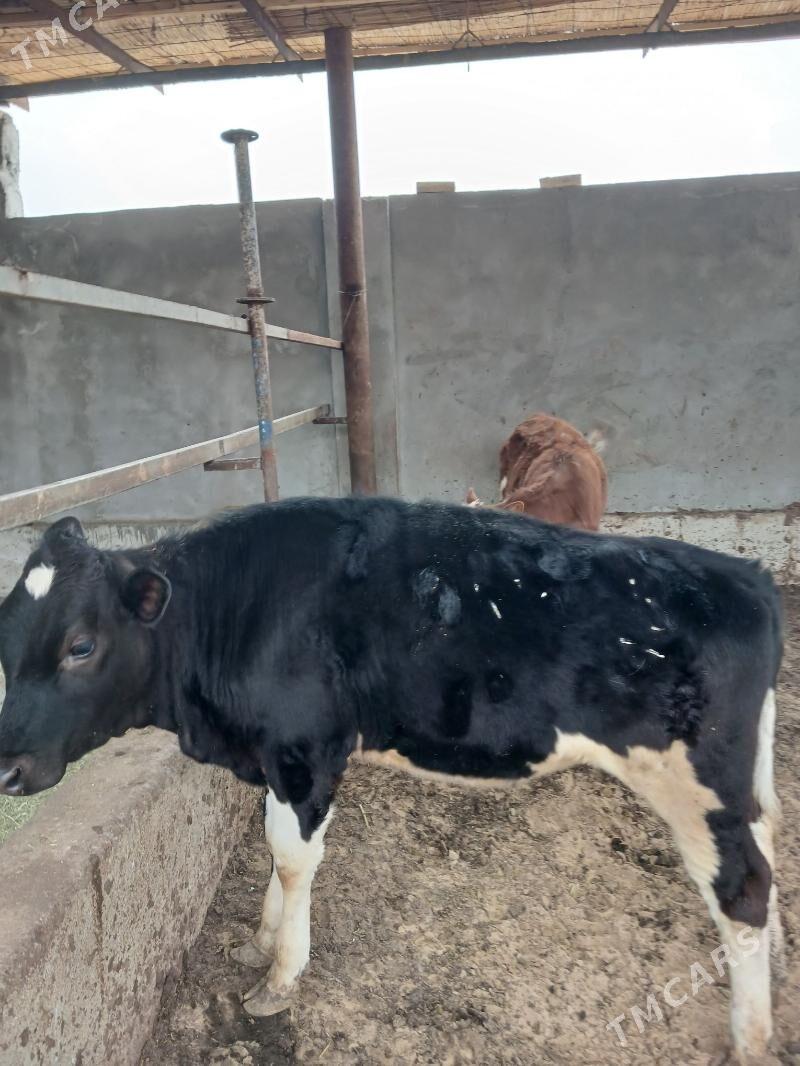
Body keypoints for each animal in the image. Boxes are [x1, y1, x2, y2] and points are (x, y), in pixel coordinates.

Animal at [0, 498, 783, 1062]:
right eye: (6, 644)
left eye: (81, 645)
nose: (7, 766)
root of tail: (747, 577)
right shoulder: (281, 761)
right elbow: (274, 848)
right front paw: (260, 939)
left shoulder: (307, 751)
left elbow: (293, 859)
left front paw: (280, 977)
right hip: (743, 786)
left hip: (700, 785)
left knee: (743, 889)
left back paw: (750, 1038)